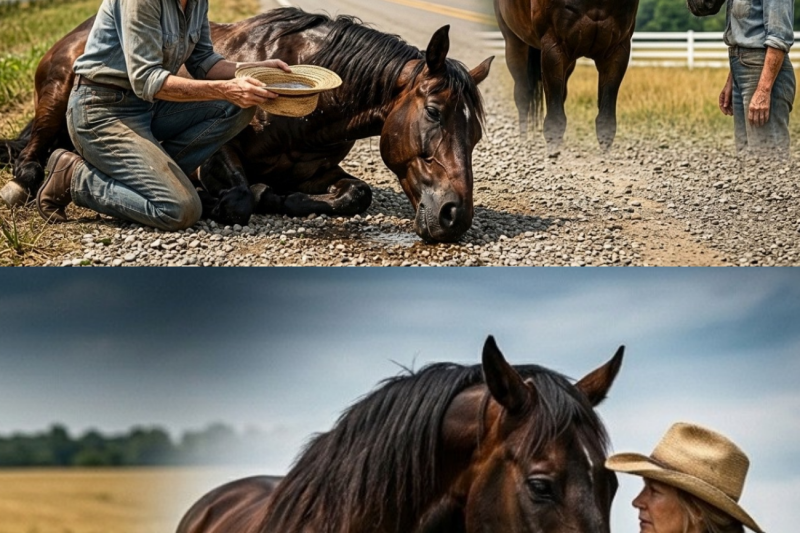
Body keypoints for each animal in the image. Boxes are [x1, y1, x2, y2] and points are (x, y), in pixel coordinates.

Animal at [0, 8, 493, 243]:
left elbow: (356, 193)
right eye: (434, 112)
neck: (311, 116)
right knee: (31, 158)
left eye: (476, 135)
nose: (454, 217)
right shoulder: (219, 152)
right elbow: (236, 198)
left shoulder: (318, 171)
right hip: (57, 94)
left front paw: (275, 195)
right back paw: (30, 182)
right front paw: (235, 197)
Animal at [493, 0, 639, 153]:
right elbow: (555, 120)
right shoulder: (553, 47)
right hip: (515, 43)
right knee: (522, 97)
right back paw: (524, 143)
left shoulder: (617, 50)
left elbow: (606, 122)